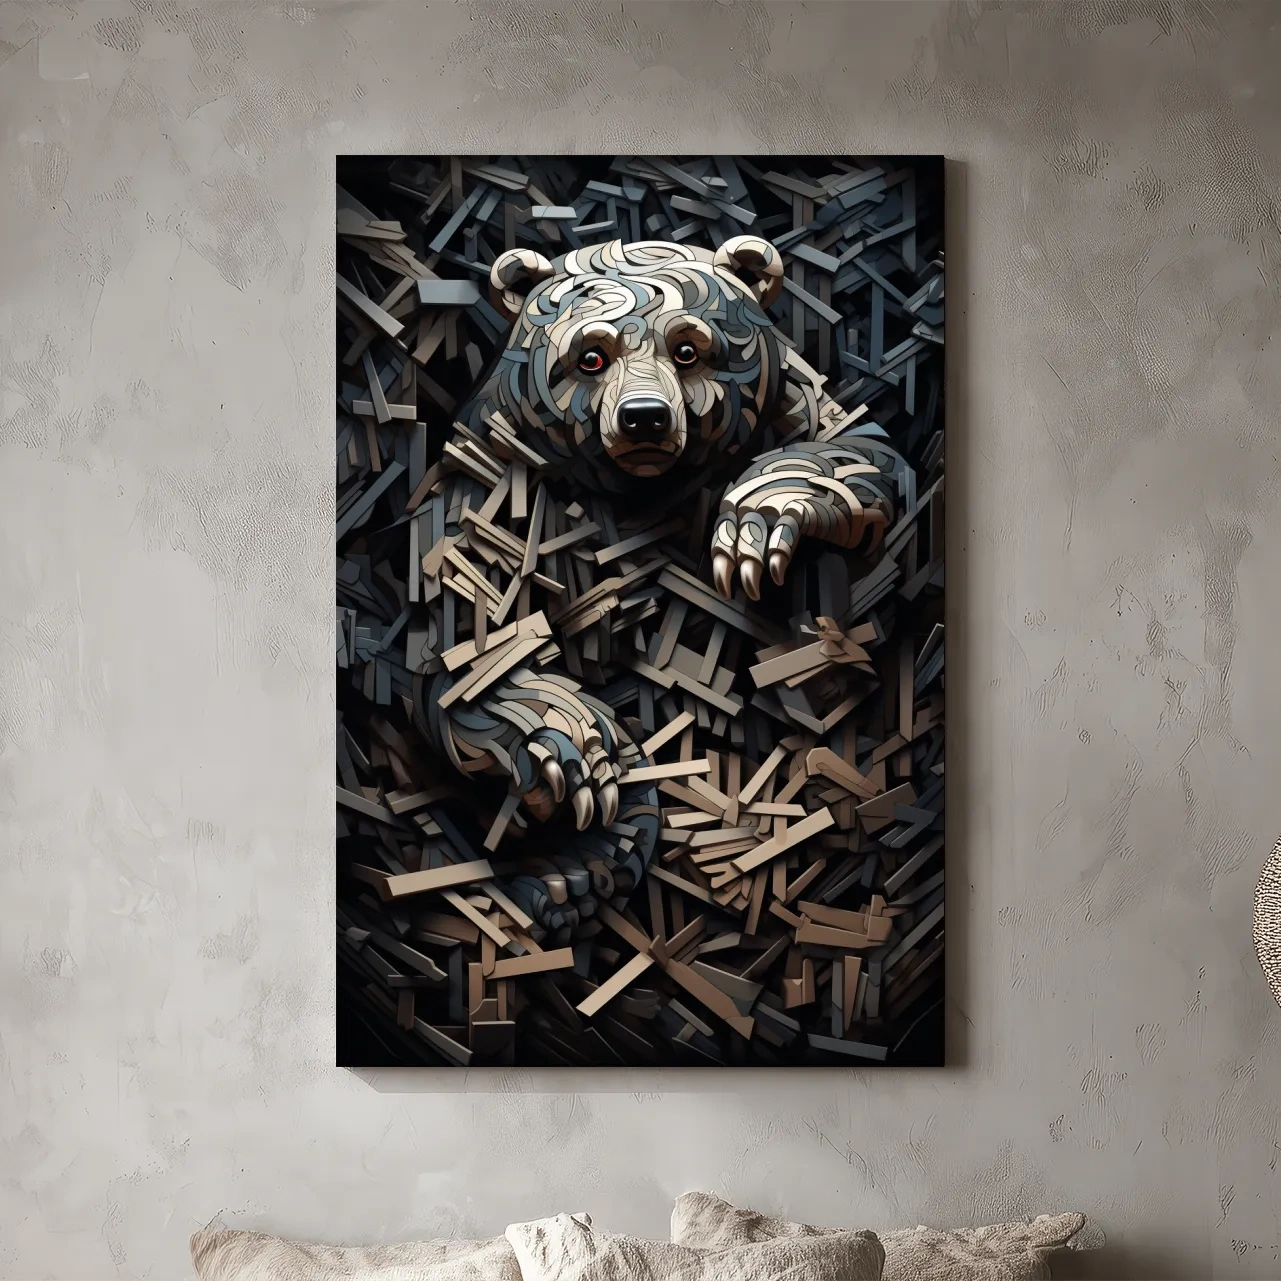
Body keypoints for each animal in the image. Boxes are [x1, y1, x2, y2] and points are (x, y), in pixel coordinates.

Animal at [409, 235, 908, 942]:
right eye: (590, 355)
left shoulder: (791, 406)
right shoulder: (502, 481)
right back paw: (568, 875)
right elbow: (469, 641)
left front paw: (757, 524)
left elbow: (858, 449)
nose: (643, 417)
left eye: (689, 348)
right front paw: (576, 754)